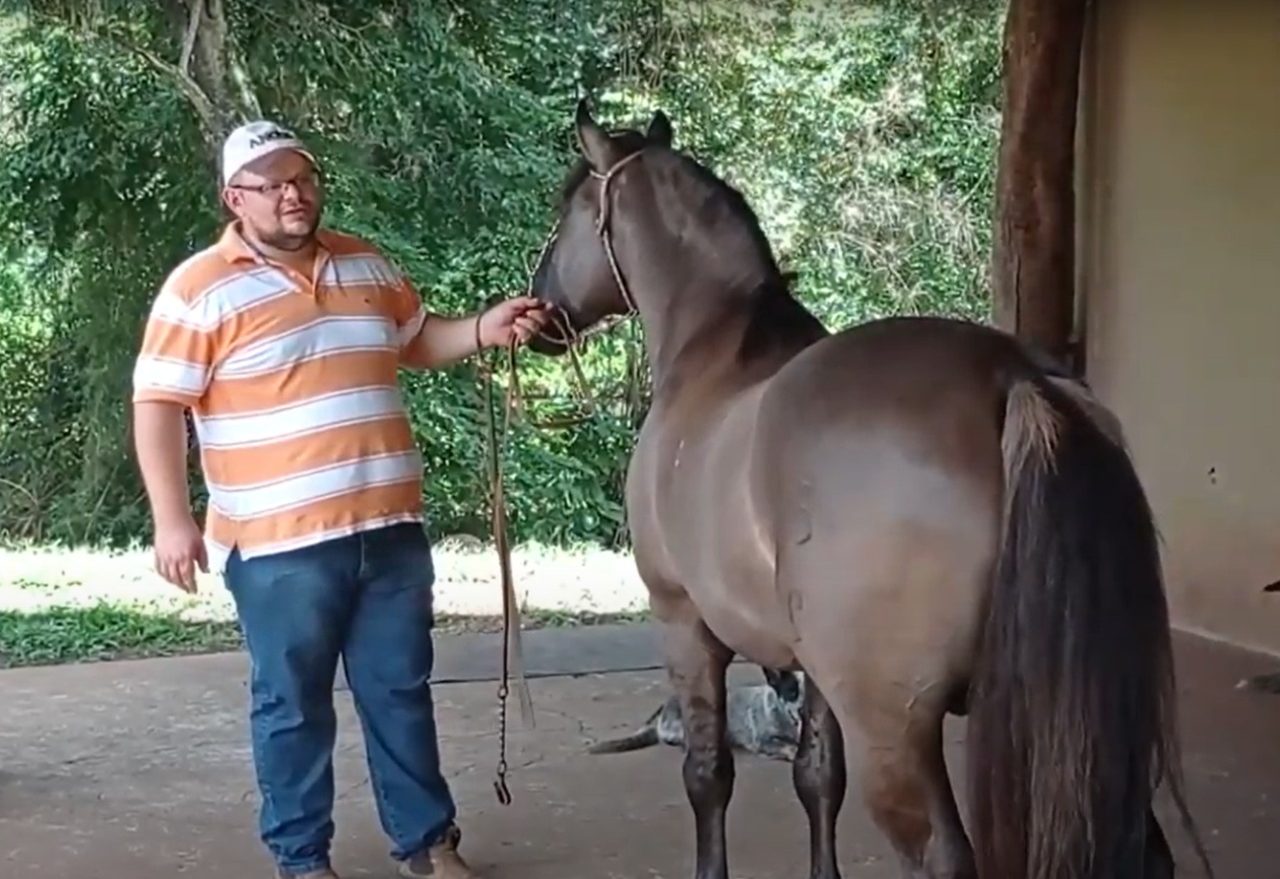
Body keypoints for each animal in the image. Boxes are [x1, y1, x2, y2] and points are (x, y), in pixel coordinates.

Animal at [522, 99, 1208, 879]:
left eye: (569, 207)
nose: (539, 305)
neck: (715, 349)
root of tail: (1014, 379)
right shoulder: (812, 673)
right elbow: (818, 779)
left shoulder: (686, 626)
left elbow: (709, 776)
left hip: (896, 730)